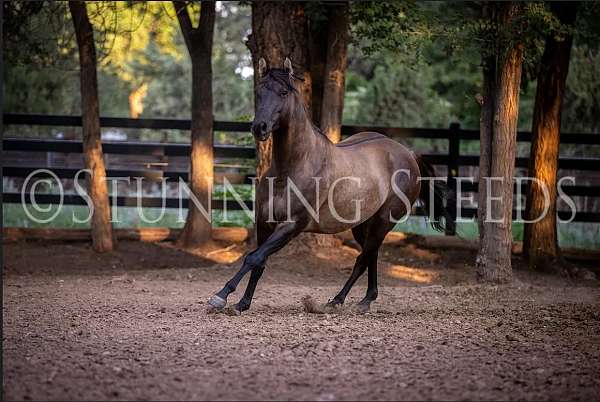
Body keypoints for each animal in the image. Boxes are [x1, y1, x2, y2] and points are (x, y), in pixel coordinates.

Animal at [209, 56, 448, 314]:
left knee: (363, 258)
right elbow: (259, 262)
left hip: (384, 222)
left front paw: (221, 296)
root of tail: (408, 154)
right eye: (259, 91)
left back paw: (339, 300)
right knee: (371, 255)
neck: (292, 168)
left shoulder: (291, 226)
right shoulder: (264, 223)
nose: (259, 127)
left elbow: (253, 258)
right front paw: (242, 304)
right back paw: (364, 300)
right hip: (362, 224)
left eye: (283, 92)